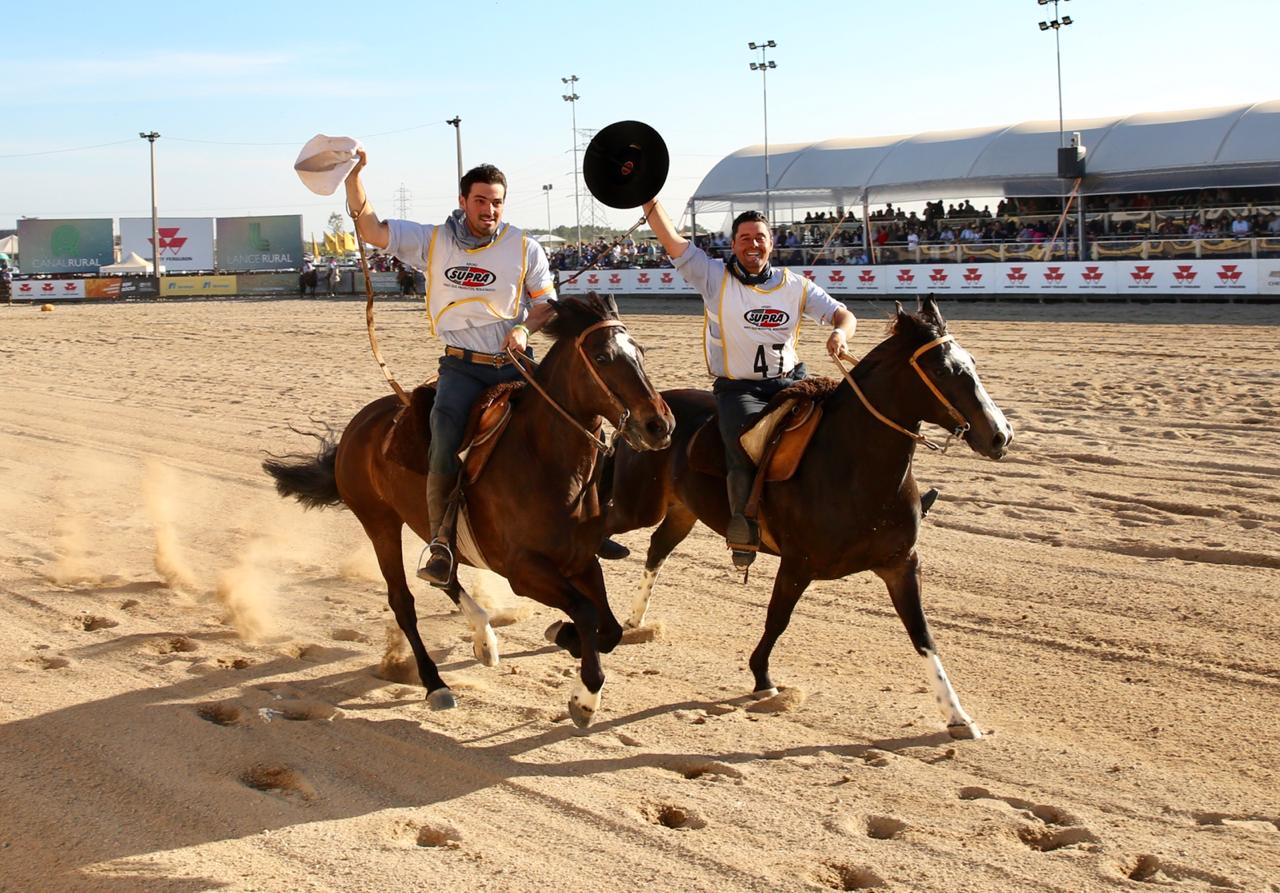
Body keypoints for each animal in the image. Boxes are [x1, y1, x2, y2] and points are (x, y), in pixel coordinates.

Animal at [264, 291, 675, 721]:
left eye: (640, 351)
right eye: (601, 357)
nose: (659, 425)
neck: (546, 461)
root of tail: (359, 425)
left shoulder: (581, 561)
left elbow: (608, 628)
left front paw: (564, 636)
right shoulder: (523, 570)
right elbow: (587, 613)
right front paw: (585, 697)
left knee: (444, 575)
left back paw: (483, 639)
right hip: (379, 522)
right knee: (403, 601)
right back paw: (436, 683)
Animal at [599, 296, 1008, 736]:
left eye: (971, 362)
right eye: (942, 369)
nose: (1000, 435)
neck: (851, 464)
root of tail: (647, 413)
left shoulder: (901, 564)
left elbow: (922, 634)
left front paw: (957, 715)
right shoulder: (798, 564)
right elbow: (777, 619)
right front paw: (762, 678)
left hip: (681, 511)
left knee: (657, 548)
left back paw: (635, 620)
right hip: (635, 505)